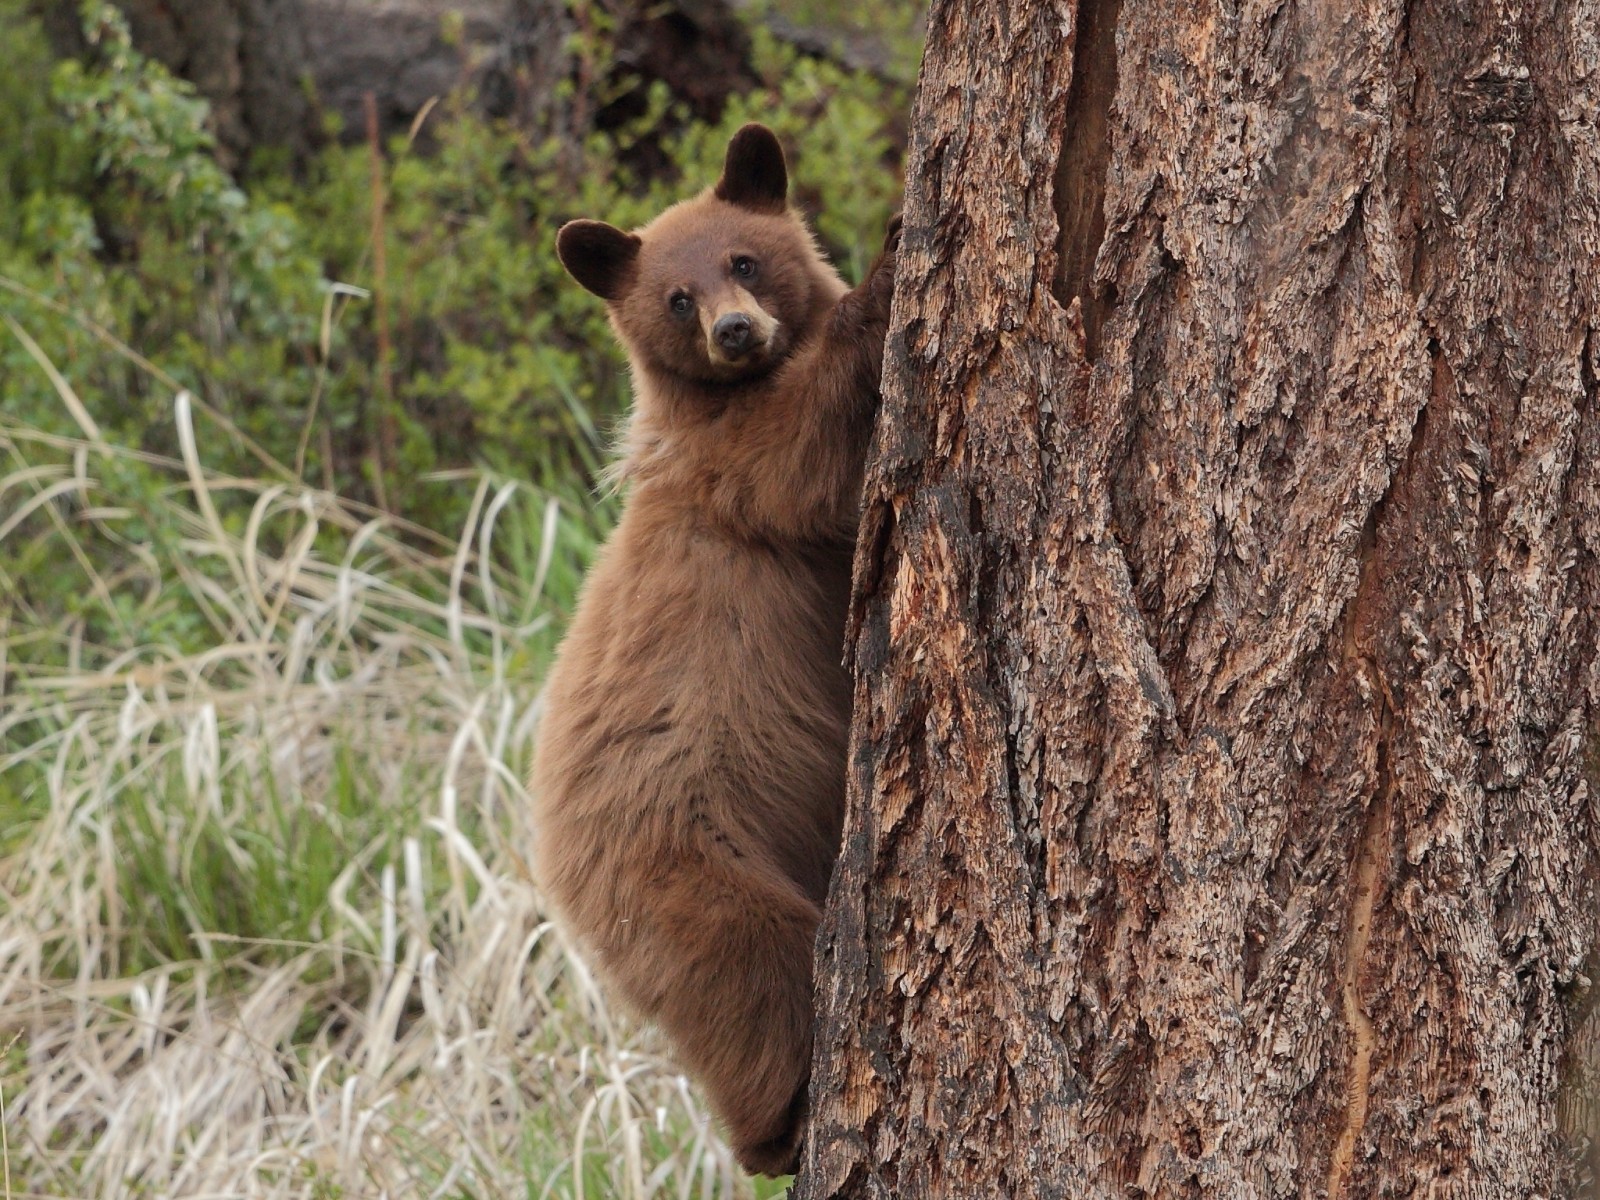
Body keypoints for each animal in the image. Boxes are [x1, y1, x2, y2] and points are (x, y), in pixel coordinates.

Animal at [528, 127, 896, 1177]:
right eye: (676, 298)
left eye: (744, 260)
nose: (736, 331)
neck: (720, 394)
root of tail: (559, 879)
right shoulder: (730, 469)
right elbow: (801, 451)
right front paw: (888, 269)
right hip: (692, 871)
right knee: (754, 981)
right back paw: (779, 1127)